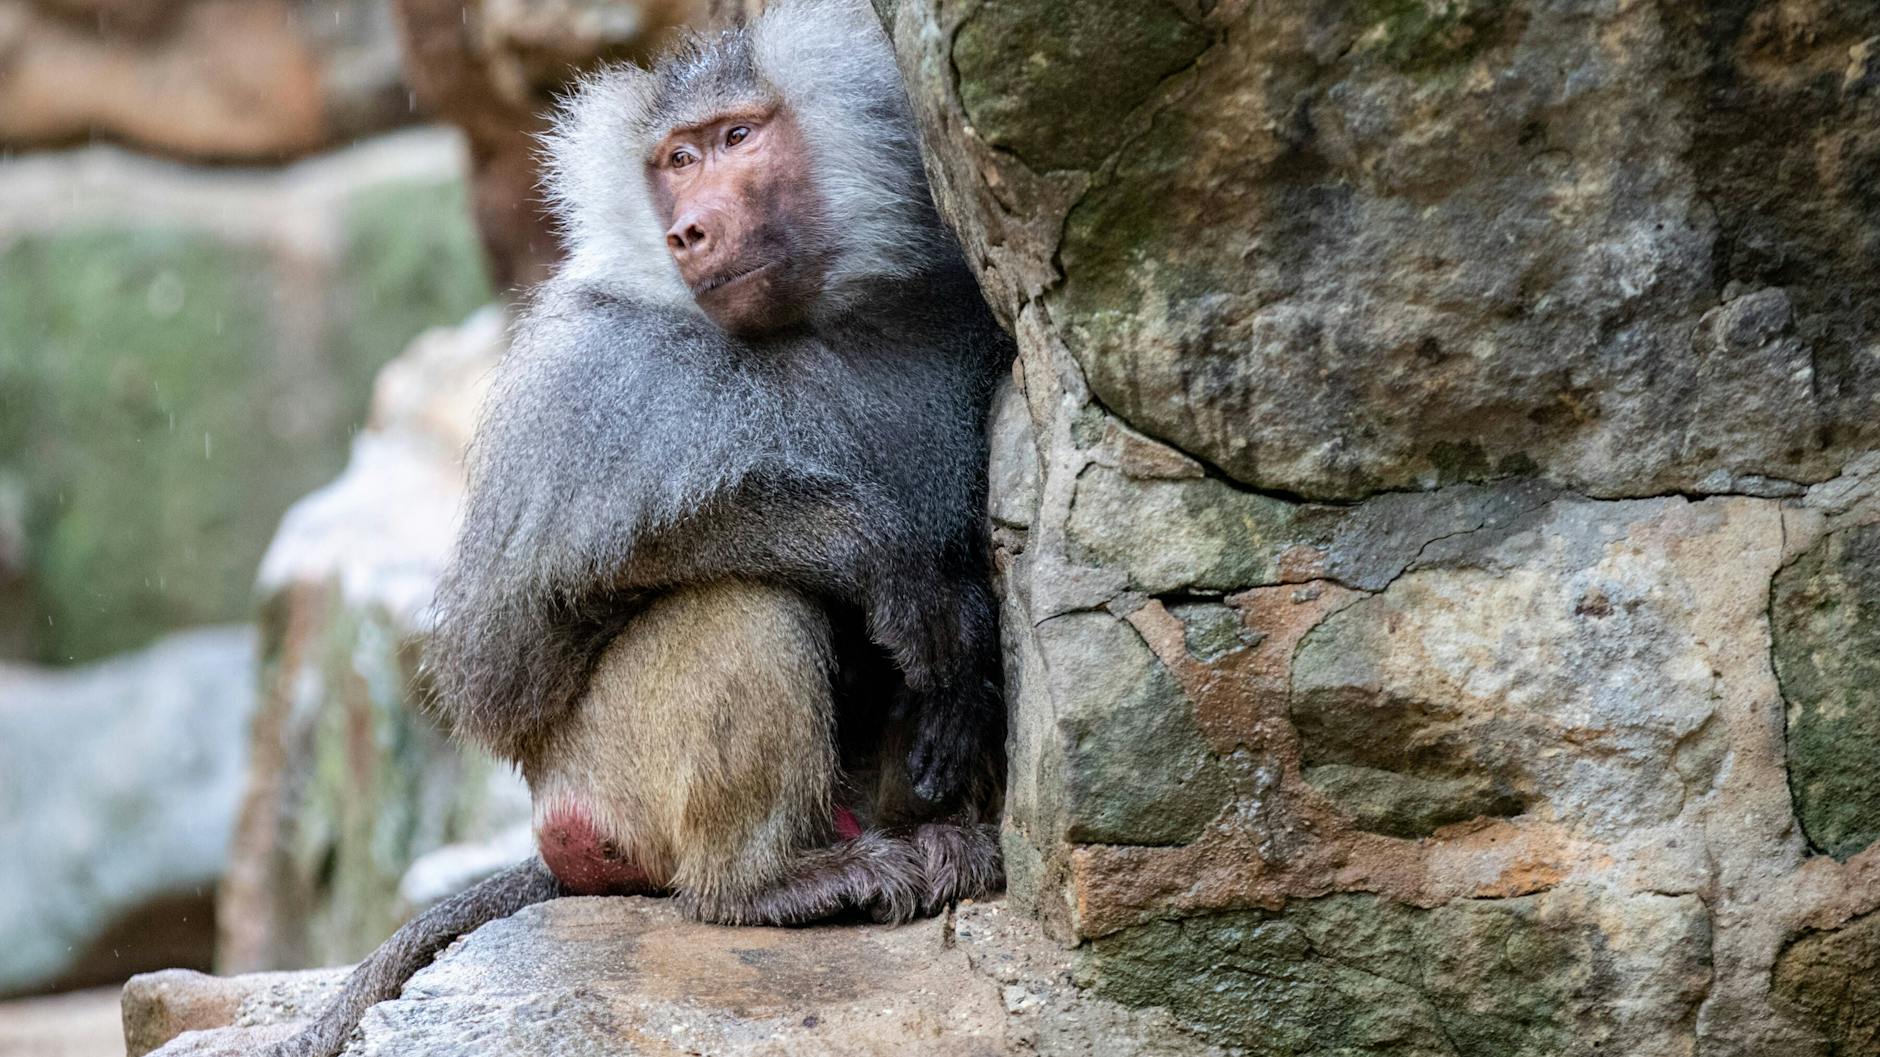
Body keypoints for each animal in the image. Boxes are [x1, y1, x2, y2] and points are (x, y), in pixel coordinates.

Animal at [262, 2, 1010, 1054]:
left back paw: (934, 839)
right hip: (610, 778)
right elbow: (508, 647)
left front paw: (965, 670)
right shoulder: (590, 374)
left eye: (736, 137)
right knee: (746, 599)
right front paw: (895, 568)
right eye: (676, 159)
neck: (797, 328)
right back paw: (769, 885)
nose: (689, 230)